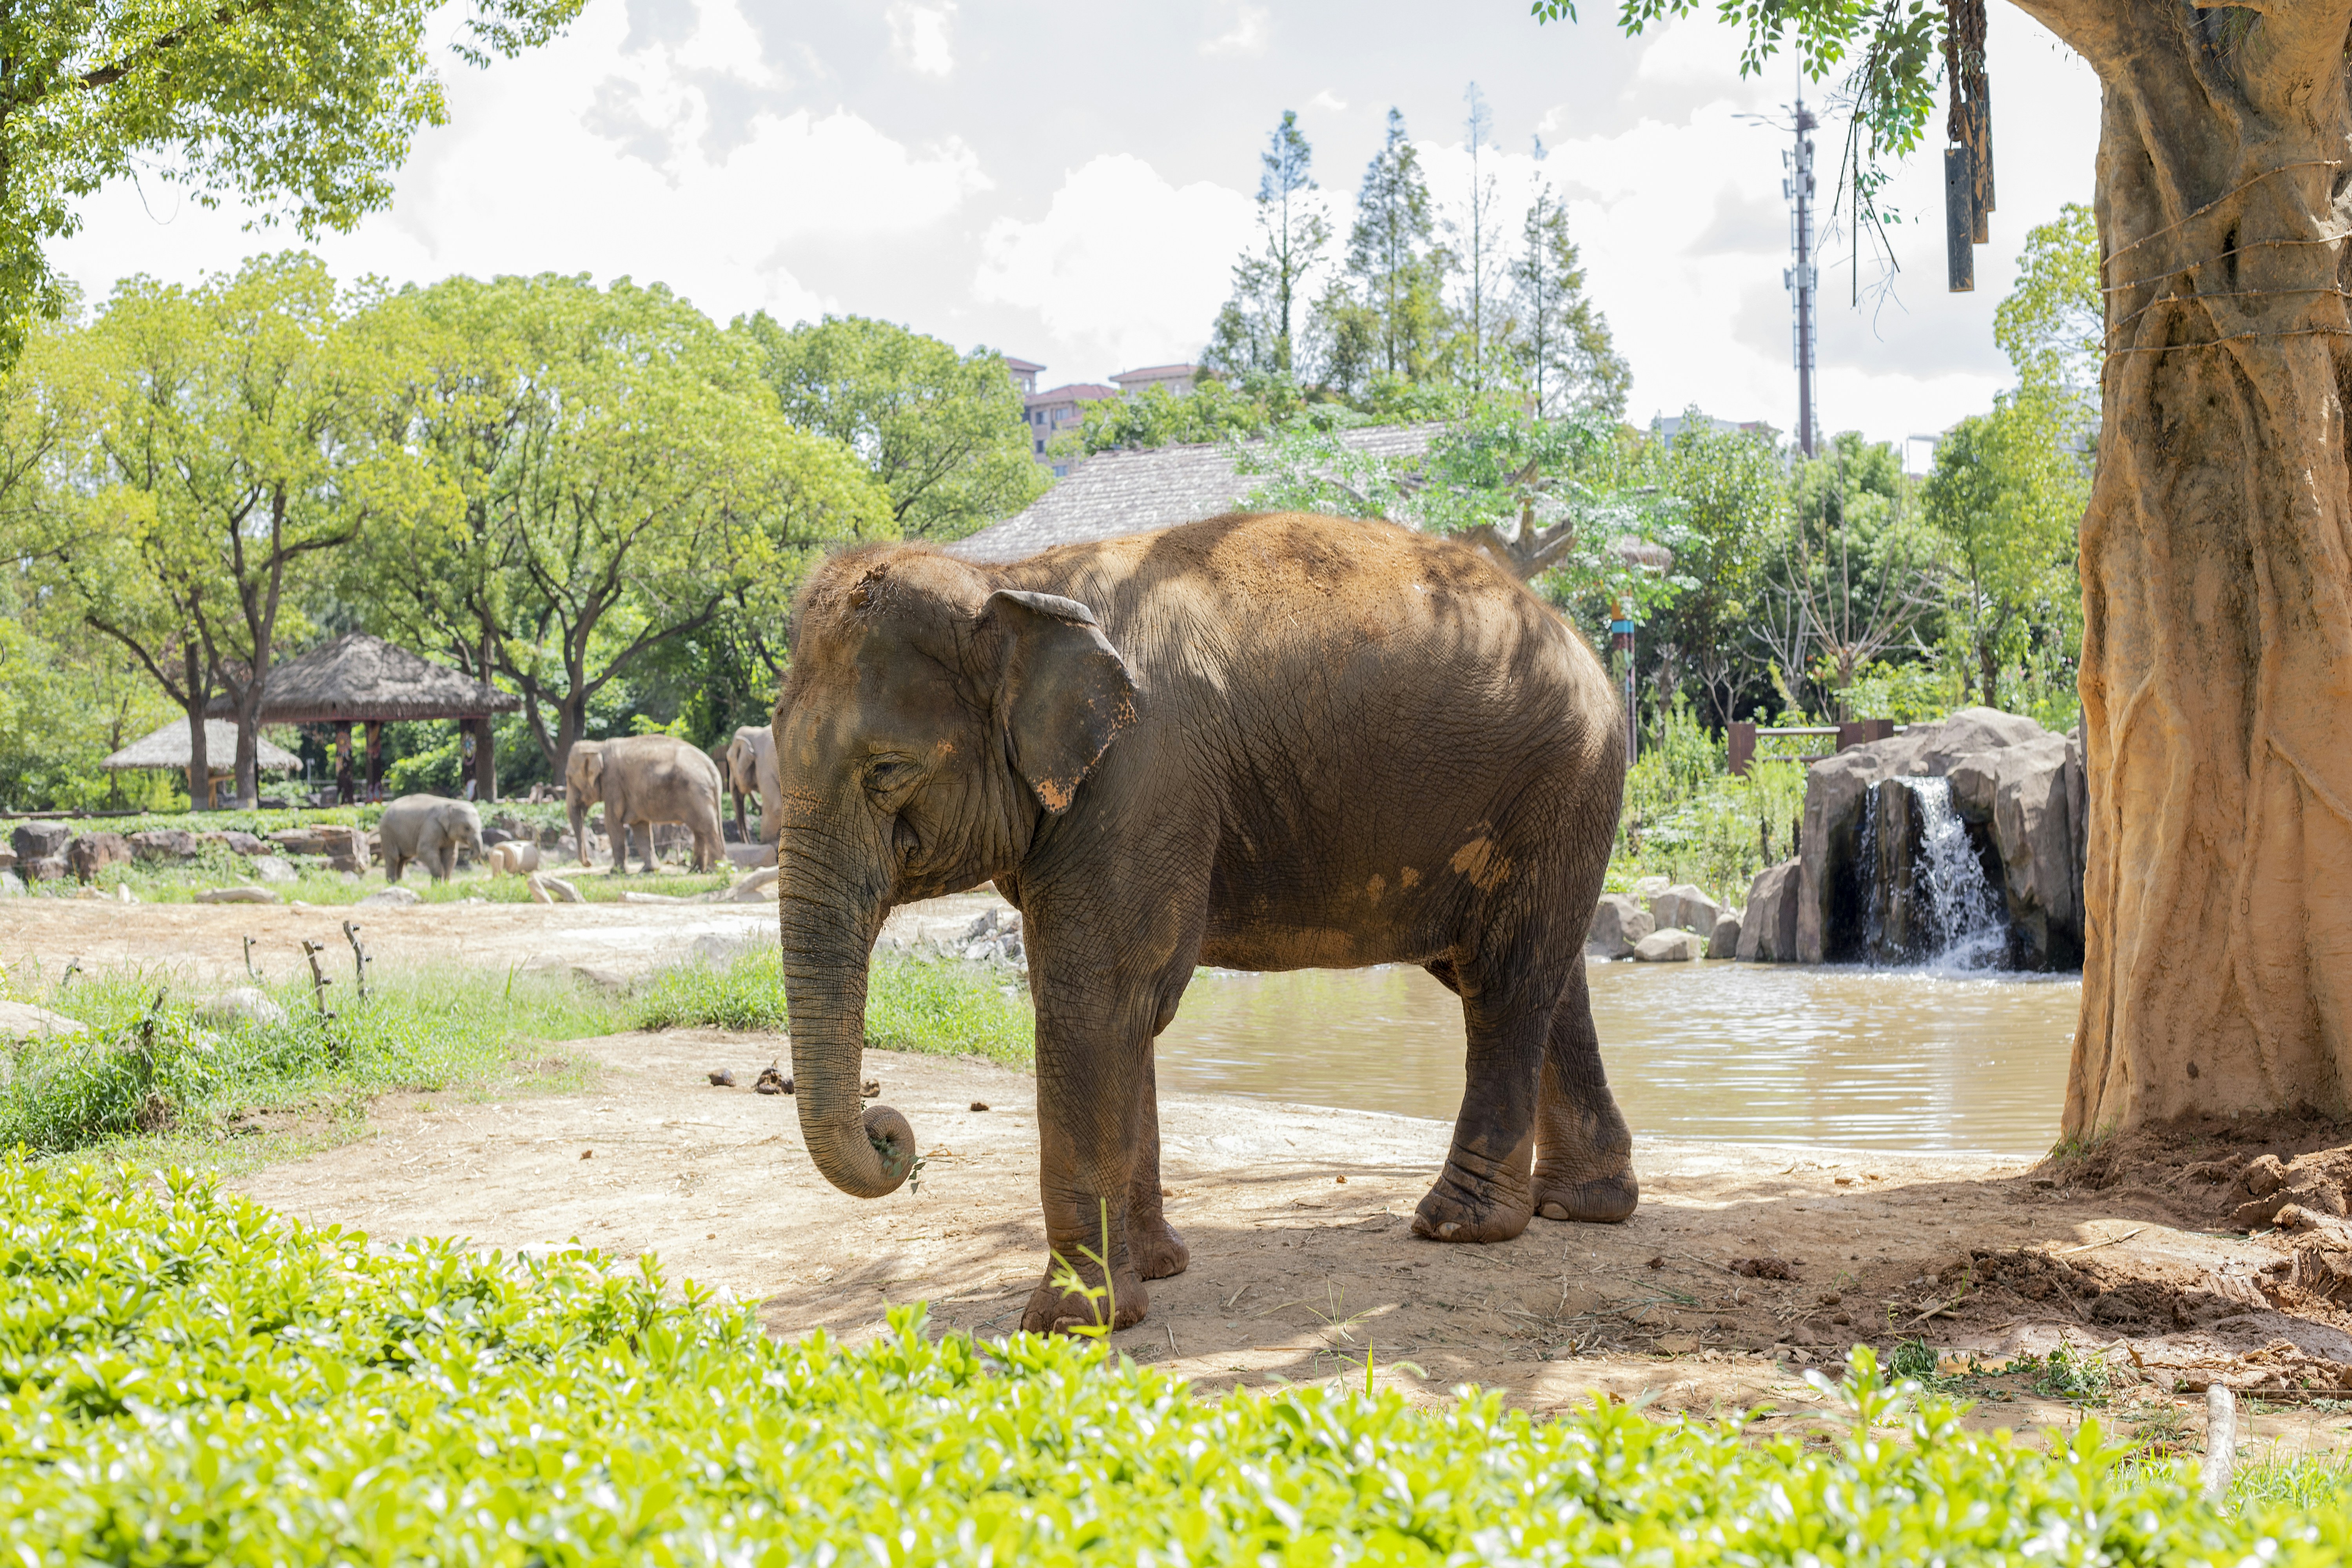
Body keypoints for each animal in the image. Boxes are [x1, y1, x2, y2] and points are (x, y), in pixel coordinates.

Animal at [377, 795, 485, 884]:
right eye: (467, 828)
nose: (470, 854)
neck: (451, 803)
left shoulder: (448, 836)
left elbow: (451, 855)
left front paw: (446, 884)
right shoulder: (431, 825)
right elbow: (424, 850)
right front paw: (437, 884)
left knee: (403, 859)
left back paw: (401, 883)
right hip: (388, 834)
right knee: (394, 857)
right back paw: (393, 883)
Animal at [565, 735, 726, 874]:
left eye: (569, 778)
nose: (589, 863)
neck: (598, 747)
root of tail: (712, 768)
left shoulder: (613, 783)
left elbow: (612, 823)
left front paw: (615, 872)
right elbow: (640, 826)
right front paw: (649, 870)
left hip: (697, 793)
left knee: (707, 828)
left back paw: (716, 871)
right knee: (699, 830)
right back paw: (695, 871)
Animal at [772, 510, 1633, 1334]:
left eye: (888, 772)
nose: (891, 1129)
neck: (1005, 578)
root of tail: (1578, 642)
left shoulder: (1142, 776)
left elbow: (1096, 998)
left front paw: (1076, 1322)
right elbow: (1131, 1006)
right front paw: (1157, 1270)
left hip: (1555, 783)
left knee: (1503, 982)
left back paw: (1460, 1225)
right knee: (1546, 976)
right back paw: (1578, 1207)